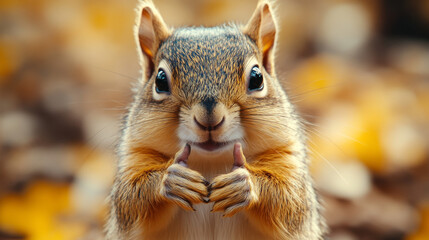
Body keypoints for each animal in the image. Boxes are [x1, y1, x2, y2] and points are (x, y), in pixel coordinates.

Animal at [106, 0, 324, 238]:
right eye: (160, 81)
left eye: (257, 78)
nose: (209, 119)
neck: (211, 162)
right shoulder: (134, 154)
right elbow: (129, 201)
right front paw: (172, 180)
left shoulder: (287, 156)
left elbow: (291, 202)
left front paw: (244, 183)